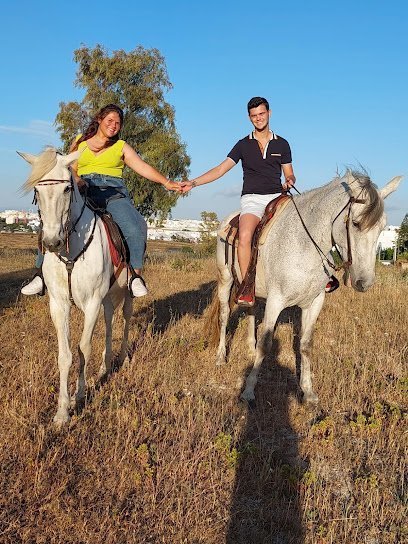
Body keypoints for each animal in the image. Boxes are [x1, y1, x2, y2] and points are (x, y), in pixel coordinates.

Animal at [19, 148, 132, 424]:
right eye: (36, 189)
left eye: (67, 188)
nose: (52, 242)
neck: (70, 253)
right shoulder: (59, 305)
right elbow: (65, 355)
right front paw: (62, 411)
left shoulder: (91, 303)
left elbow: (83, 349)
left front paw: (79, 396)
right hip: (107, 298)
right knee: (110, 324)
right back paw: (104, 368)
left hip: (125, 294)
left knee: (125, 319)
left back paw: (123, 359)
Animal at [210, 172, 402, 406]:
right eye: (356, 223)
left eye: (382, 227)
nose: (364, 282)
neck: (304, 244)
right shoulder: (276, 301)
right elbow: (265, 344)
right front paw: (248, 391)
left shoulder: (315, 302)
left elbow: (306, 344)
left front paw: (308, 391)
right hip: (225, 279)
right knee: (224, 315)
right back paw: (221, 357)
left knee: (251, 310)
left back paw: (249, 348)